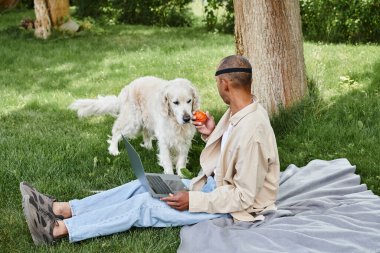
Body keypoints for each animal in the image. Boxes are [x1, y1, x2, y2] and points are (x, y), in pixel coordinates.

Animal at [69, 76, 199, 176]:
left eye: (189, 101)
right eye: (175, 102)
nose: (187, 118)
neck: (176, 124)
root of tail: (127, 87)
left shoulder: (185, 142)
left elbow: (181, 161)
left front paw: (182, 176)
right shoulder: (164, 141)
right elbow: (167, 161)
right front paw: (170, 175)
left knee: (145, 133)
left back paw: (148, 148)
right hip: (133, 122)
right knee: (116, 131)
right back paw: (114, 150)